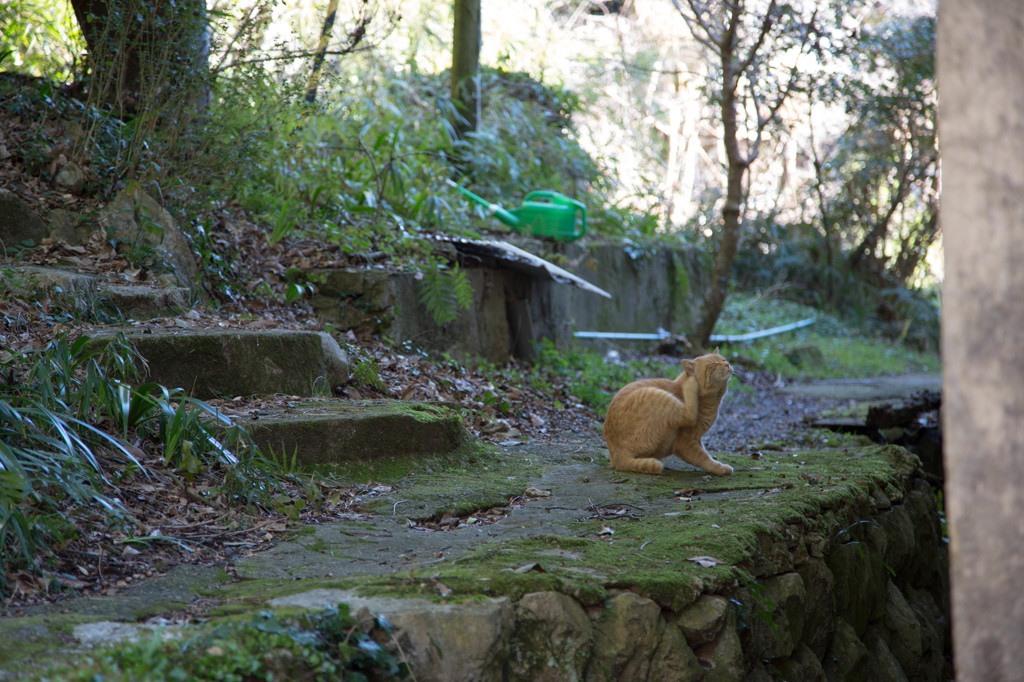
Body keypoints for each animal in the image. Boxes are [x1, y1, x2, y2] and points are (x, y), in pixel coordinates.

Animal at [602, 350, 733, 473]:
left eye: (723, 359)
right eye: (713, 364)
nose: (727, 364)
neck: (712, 402)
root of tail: (615, 456)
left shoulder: (697, 438)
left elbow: (705, 453)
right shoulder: (684, 443)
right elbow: (703, 458)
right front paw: (720, 468)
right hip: (658, 396)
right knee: (689, 415)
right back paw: (690, 384)